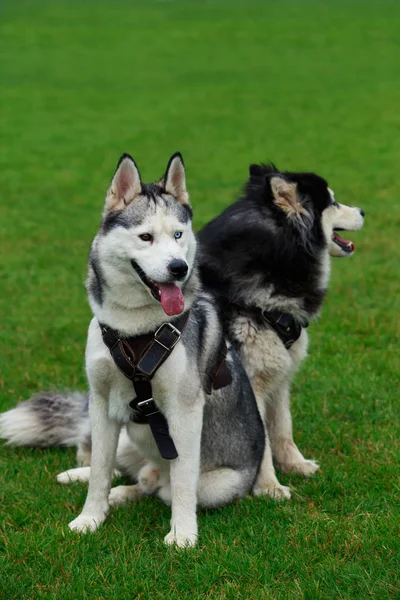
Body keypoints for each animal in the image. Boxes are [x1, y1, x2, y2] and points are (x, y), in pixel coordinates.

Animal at [0, 152, 266, 548]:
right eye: (146, 237)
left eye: (178, 234)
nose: (179, 267)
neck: (135, 330)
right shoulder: (101, 403)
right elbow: (100, 469)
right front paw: (90, 518)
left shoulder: (184, 414)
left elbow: (183, 482)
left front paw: (183, 535)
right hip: (127, 437)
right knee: (127, 473)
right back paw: (93, 483)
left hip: (218, 484)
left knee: (162, 487)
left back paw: (130, 493)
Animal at [198, 163, 364, 496]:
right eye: (334, 202)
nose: (363, 210)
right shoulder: (252, 382)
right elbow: (260, 439)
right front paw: (269, 488)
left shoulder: (279, 376)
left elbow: (283, 428)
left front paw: (296, 465)